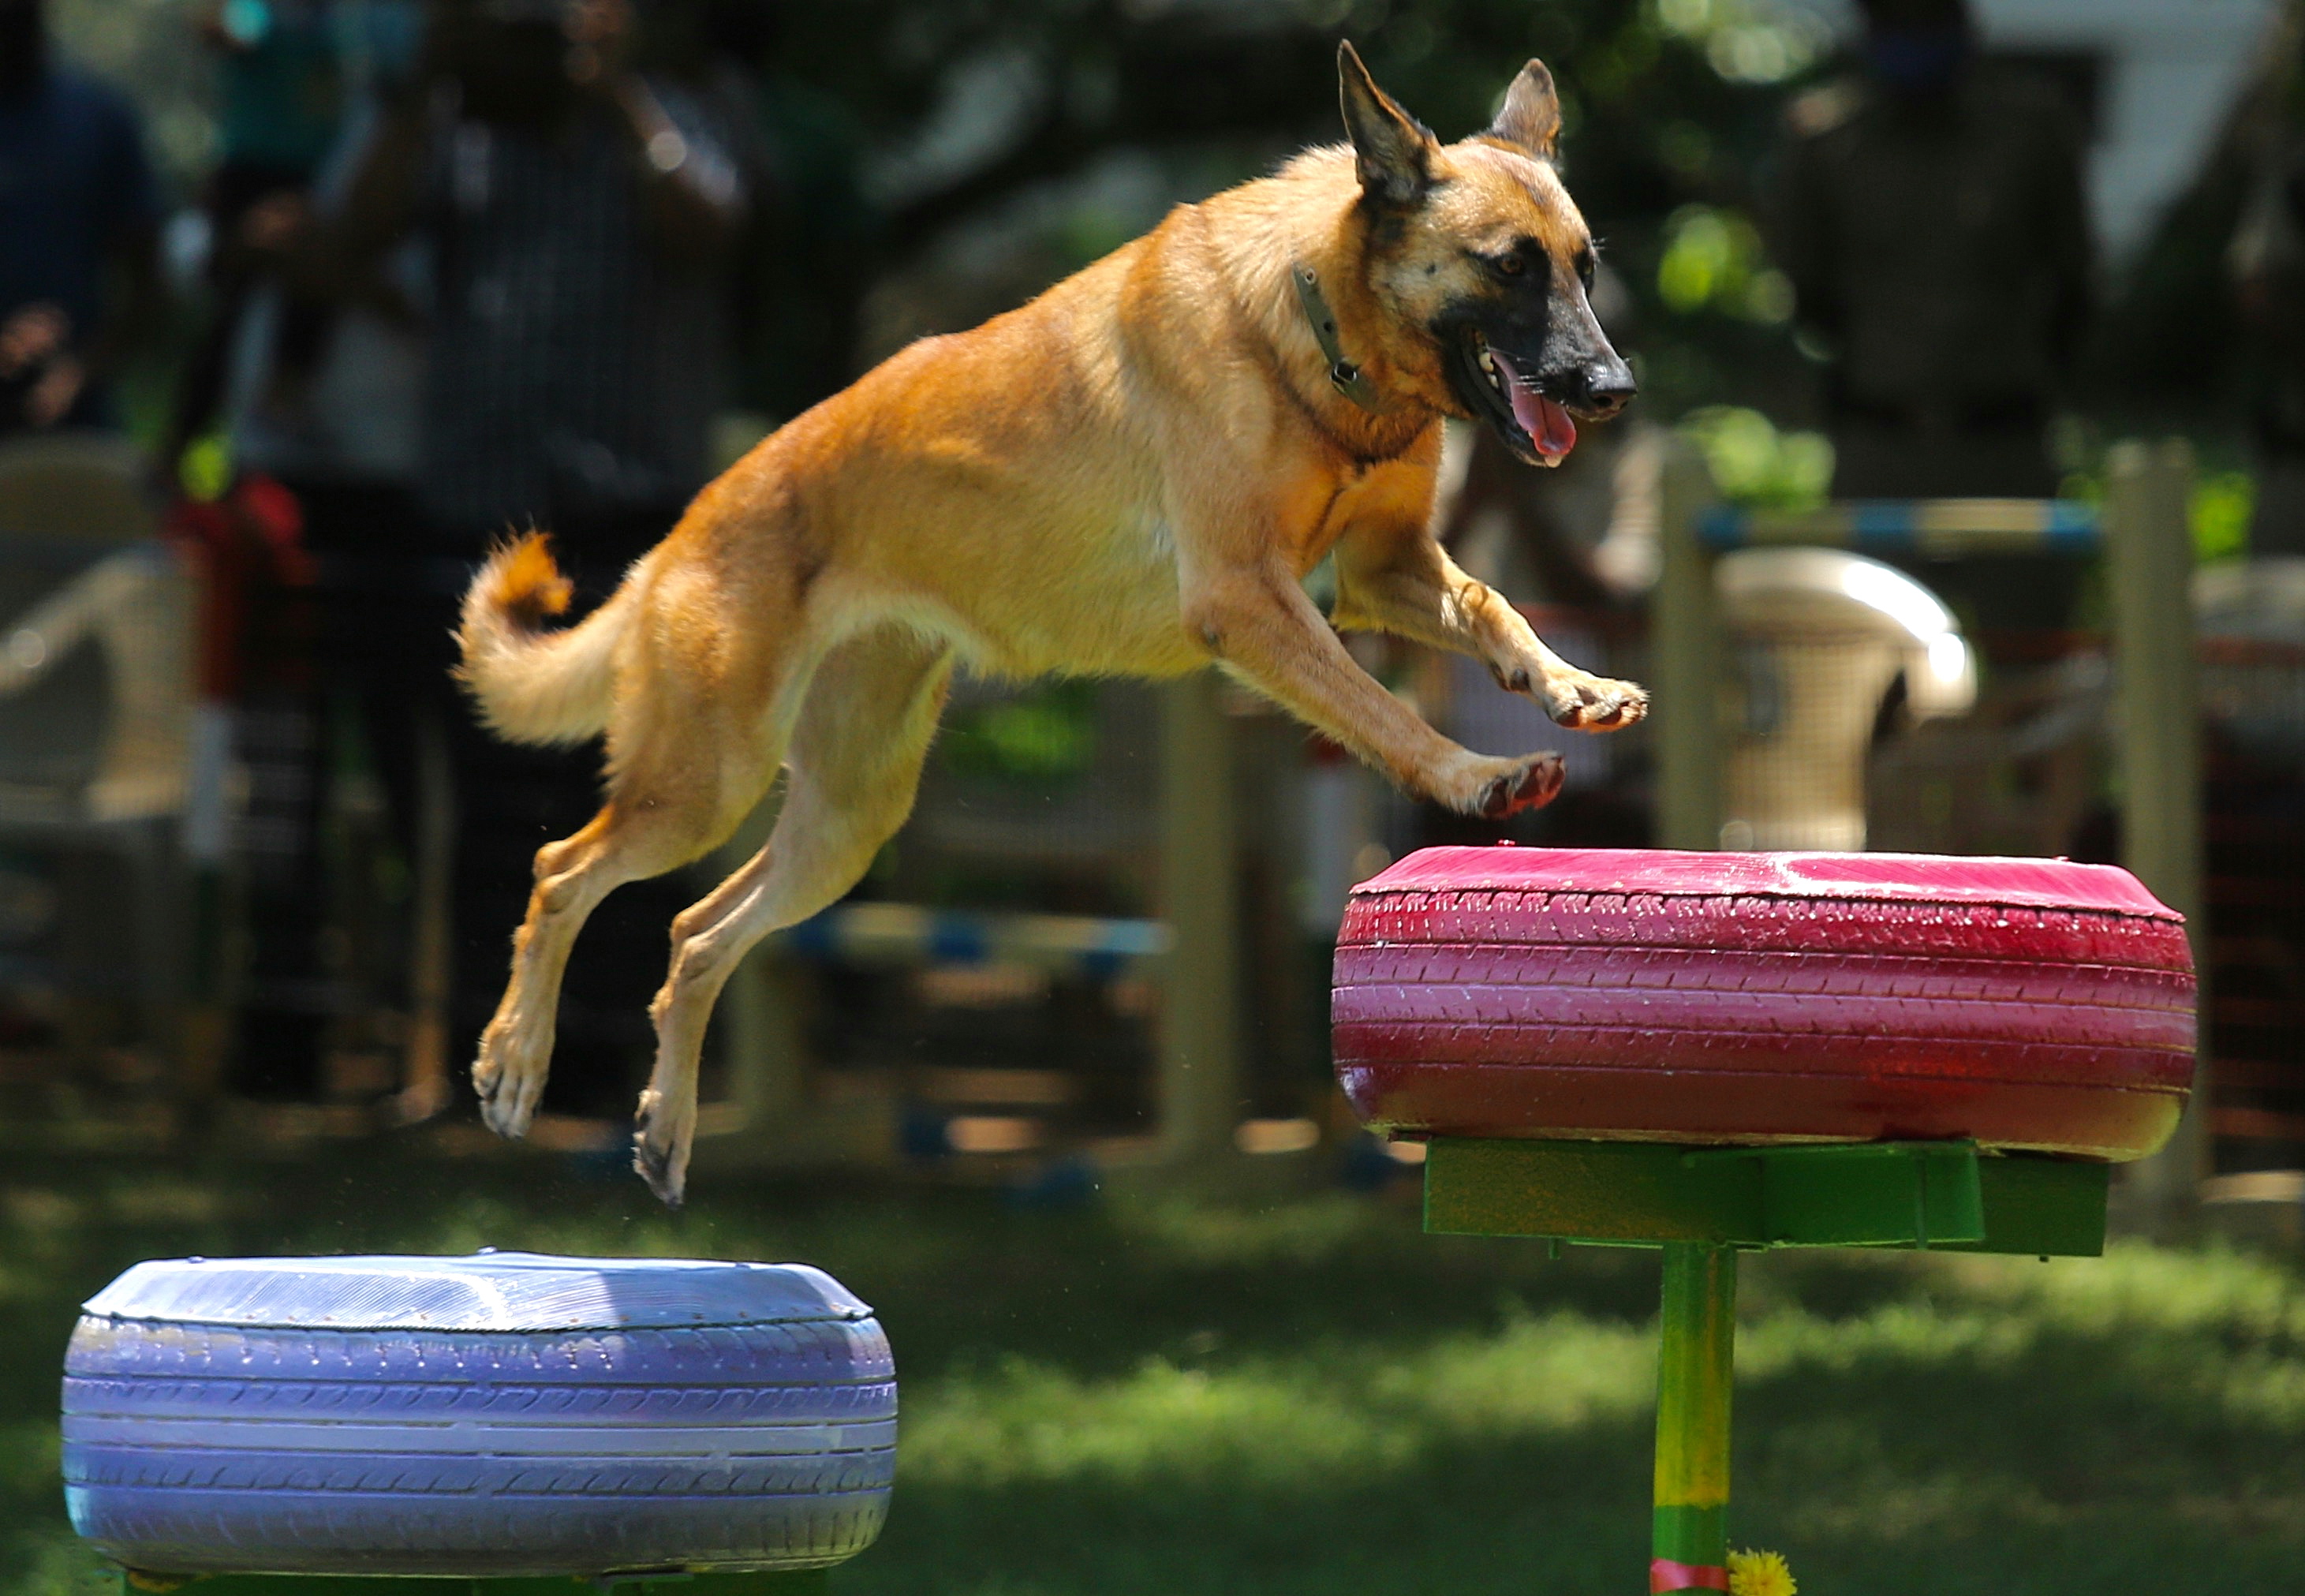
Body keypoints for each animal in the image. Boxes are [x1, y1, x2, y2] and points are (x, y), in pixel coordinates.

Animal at [454, 43, 1641, 1199]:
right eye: (1508, 265)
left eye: (1584, 267)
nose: (1612, 386)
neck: (1318, 329)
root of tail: (682, 530)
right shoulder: (1246, 598)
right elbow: (1378, 709)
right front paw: (1472, 774)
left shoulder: (1385, 565)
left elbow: (1491, 606)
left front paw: (1570, 686)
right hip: (709, 778)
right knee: (562, 869)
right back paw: (514, 1064)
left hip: (844, 819)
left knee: (694, 934)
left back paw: (664, 1127)